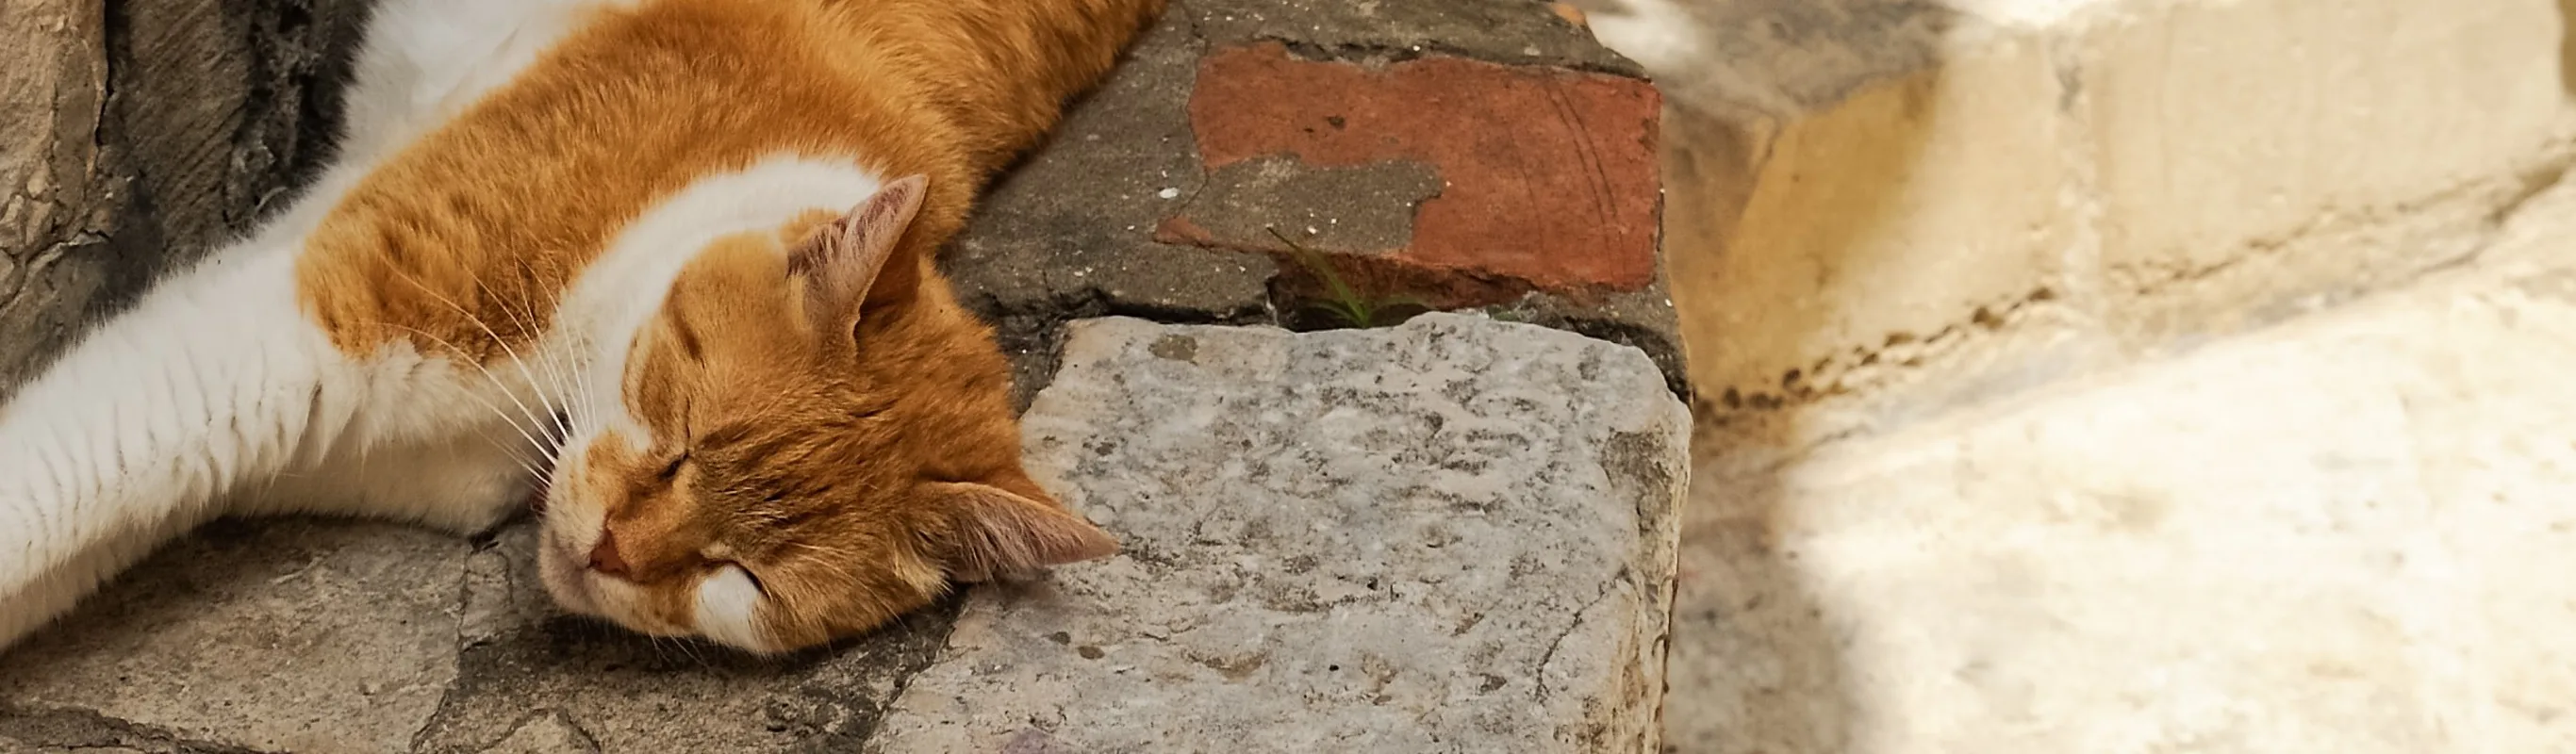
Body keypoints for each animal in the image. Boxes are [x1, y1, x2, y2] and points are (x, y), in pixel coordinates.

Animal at [0, 0, 1153, 650]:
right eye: (677, 436)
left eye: (740, 576)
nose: (608, 550)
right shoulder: (295, 330)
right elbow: (55, 487)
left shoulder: (295, 430)